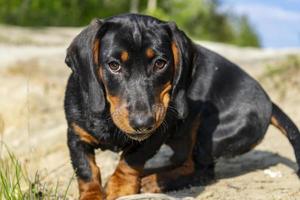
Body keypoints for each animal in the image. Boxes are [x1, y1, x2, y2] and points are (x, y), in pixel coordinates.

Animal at [63, 13, 300, 199]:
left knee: (199, 171)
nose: (143, 123)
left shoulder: (155, 135)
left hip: (209, 133)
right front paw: (92, 194)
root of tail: (269, 102)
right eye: (113, 65)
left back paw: (154, 181)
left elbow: (130, 160)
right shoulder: (75, 135)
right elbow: (86, 171)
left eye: (160, 63)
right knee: (183, 161)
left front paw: (120, 188)